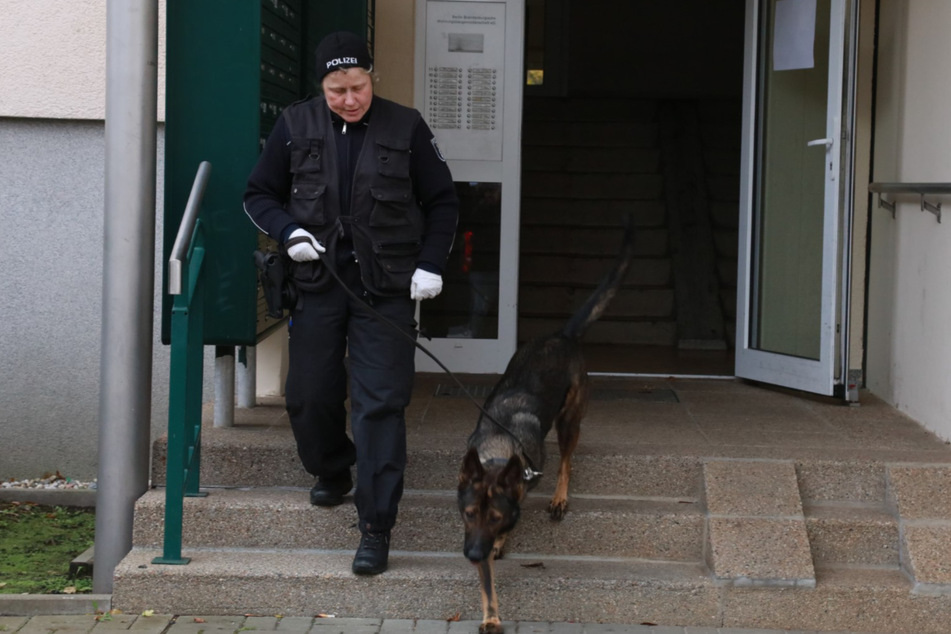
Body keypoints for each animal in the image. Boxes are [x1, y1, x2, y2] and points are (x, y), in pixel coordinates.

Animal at [458, 216, 636, 628]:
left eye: (495, 517)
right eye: (469, 514)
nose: (472, 555)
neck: (499, 448)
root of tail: (562, 334)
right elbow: (487, 582)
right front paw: (490, 613)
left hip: (570, 419)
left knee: (567, 460)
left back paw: (559, 497)